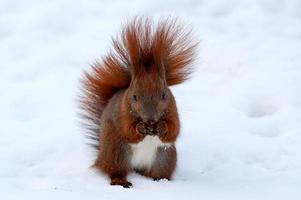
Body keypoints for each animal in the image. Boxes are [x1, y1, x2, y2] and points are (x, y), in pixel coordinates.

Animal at [79, 17, 197, 188]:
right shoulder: (122, 113)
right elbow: (128, 130)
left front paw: (162, 126)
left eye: (164, 94)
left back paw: (161, 180)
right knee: (116, 171)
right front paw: (140, 127)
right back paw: (121, 181)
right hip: (117, 153)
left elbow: (174, 129)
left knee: (155, 172)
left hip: (164, 158)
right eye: (134, 97)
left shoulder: (173, 110)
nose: (151, 119)